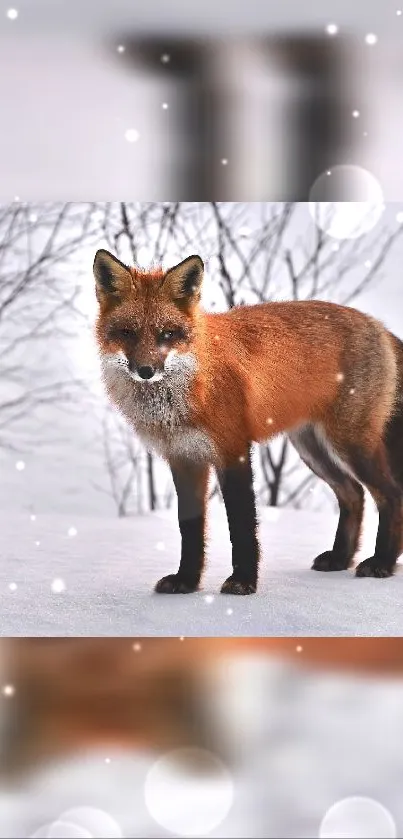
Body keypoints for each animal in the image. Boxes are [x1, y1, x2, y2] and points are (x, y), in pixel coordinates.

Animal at [93, 249, 403, 596]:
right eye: (127, 332)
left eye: (167, 334)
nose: (146, 371)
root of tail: (378, 325)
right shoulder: (184, 458)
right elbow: (190, 529)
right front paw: (186, 581)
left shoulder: (234, 450)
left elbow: (241, 525)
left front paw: (242, 581)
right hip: (312, 449)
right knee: (354, 495)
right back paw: (340, 558)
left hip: (350, 444)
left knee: (391, 495)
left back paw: (382, 562)